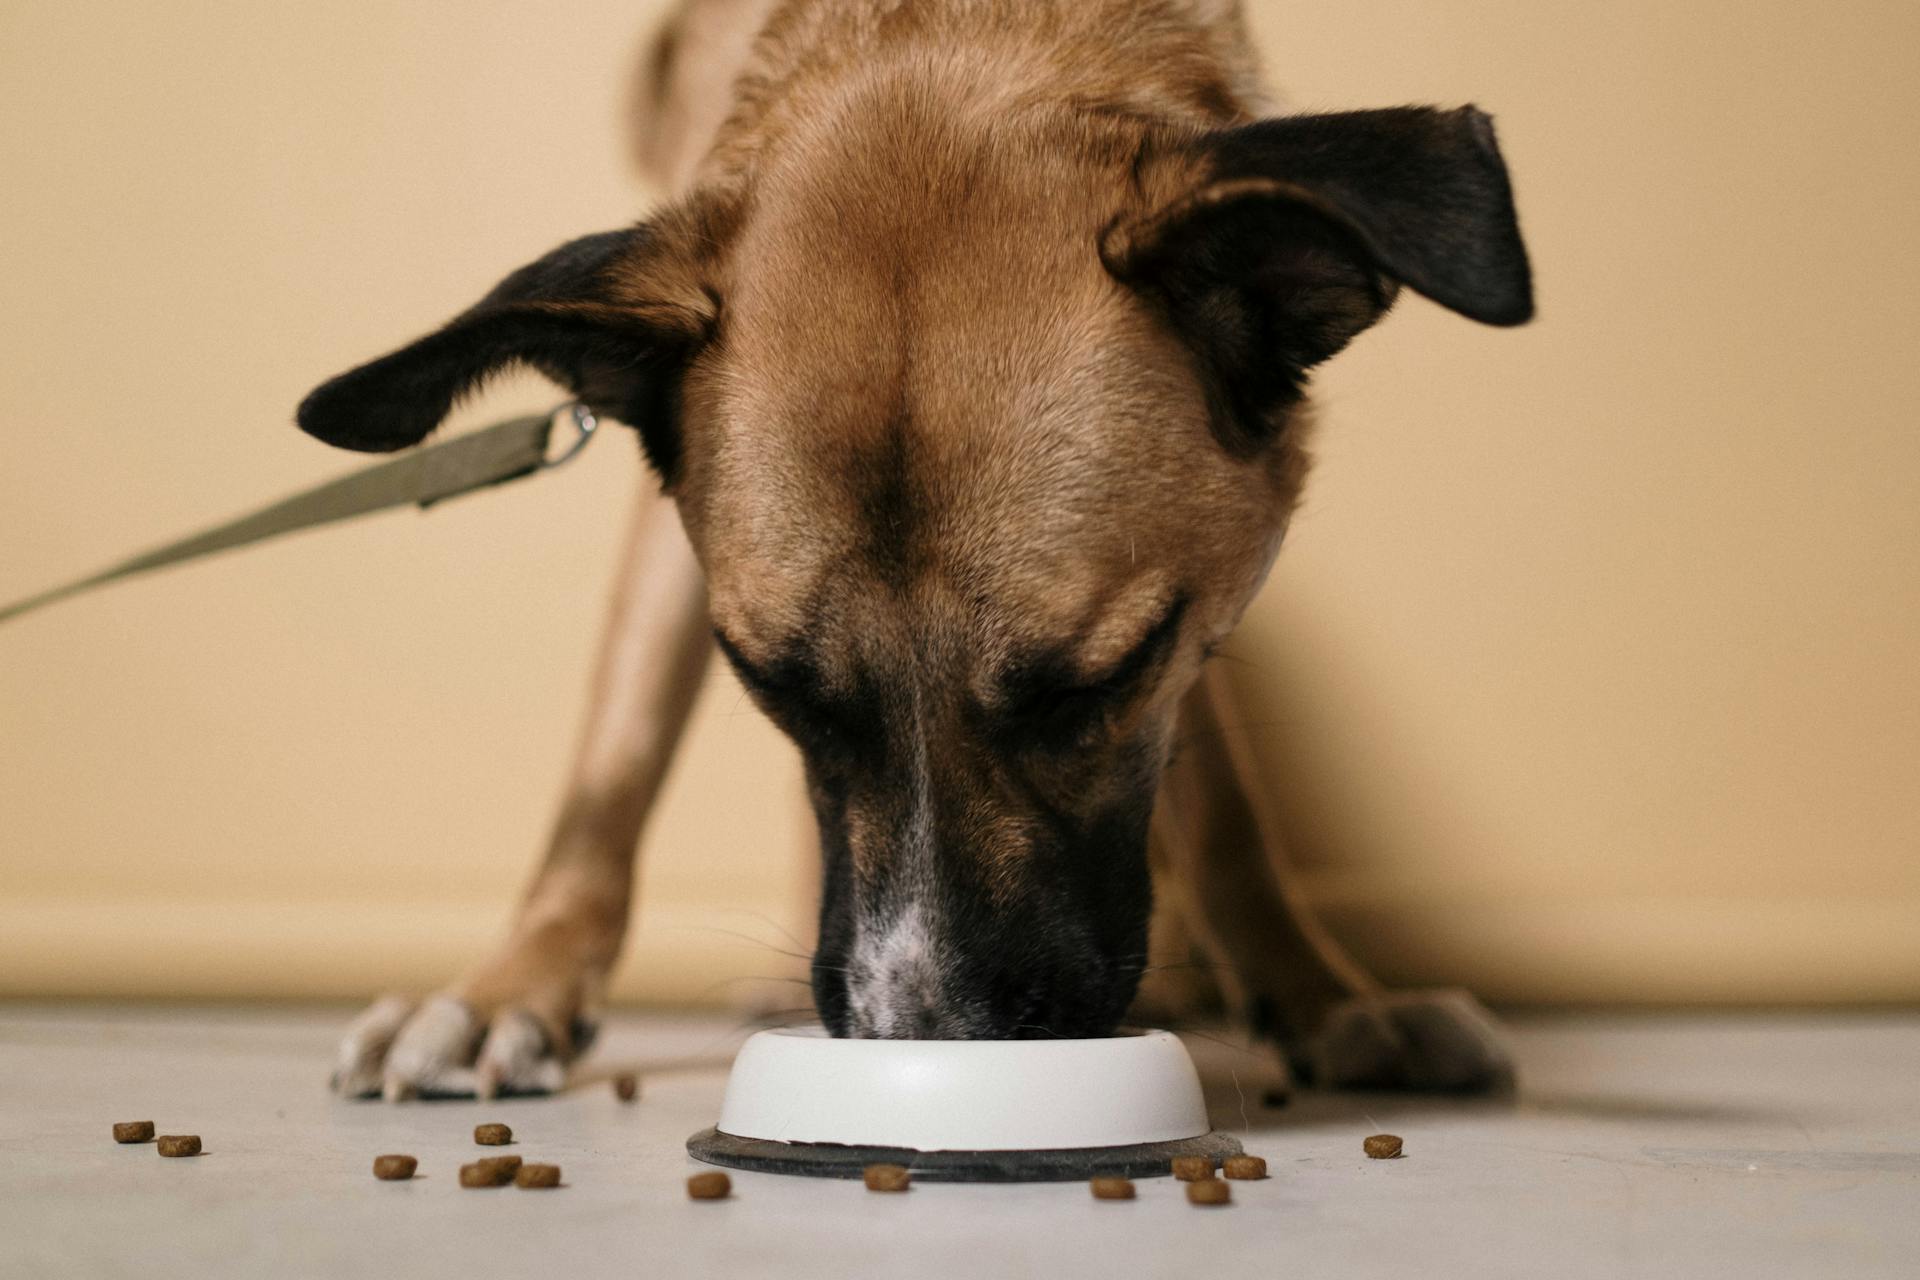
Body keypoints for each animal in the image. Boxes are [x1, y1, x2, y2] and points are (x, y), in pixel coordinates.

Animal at [299, 0, 1528, 1105]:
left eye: (1098, 684)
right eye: (774, 686)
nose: (927, 1039)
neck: (943, 31)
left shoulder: (1195, 604)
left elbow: (1225, 806)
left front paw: (1323, 995)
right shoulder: (668, 528)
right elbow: (612, 765)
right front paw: (512, 986)